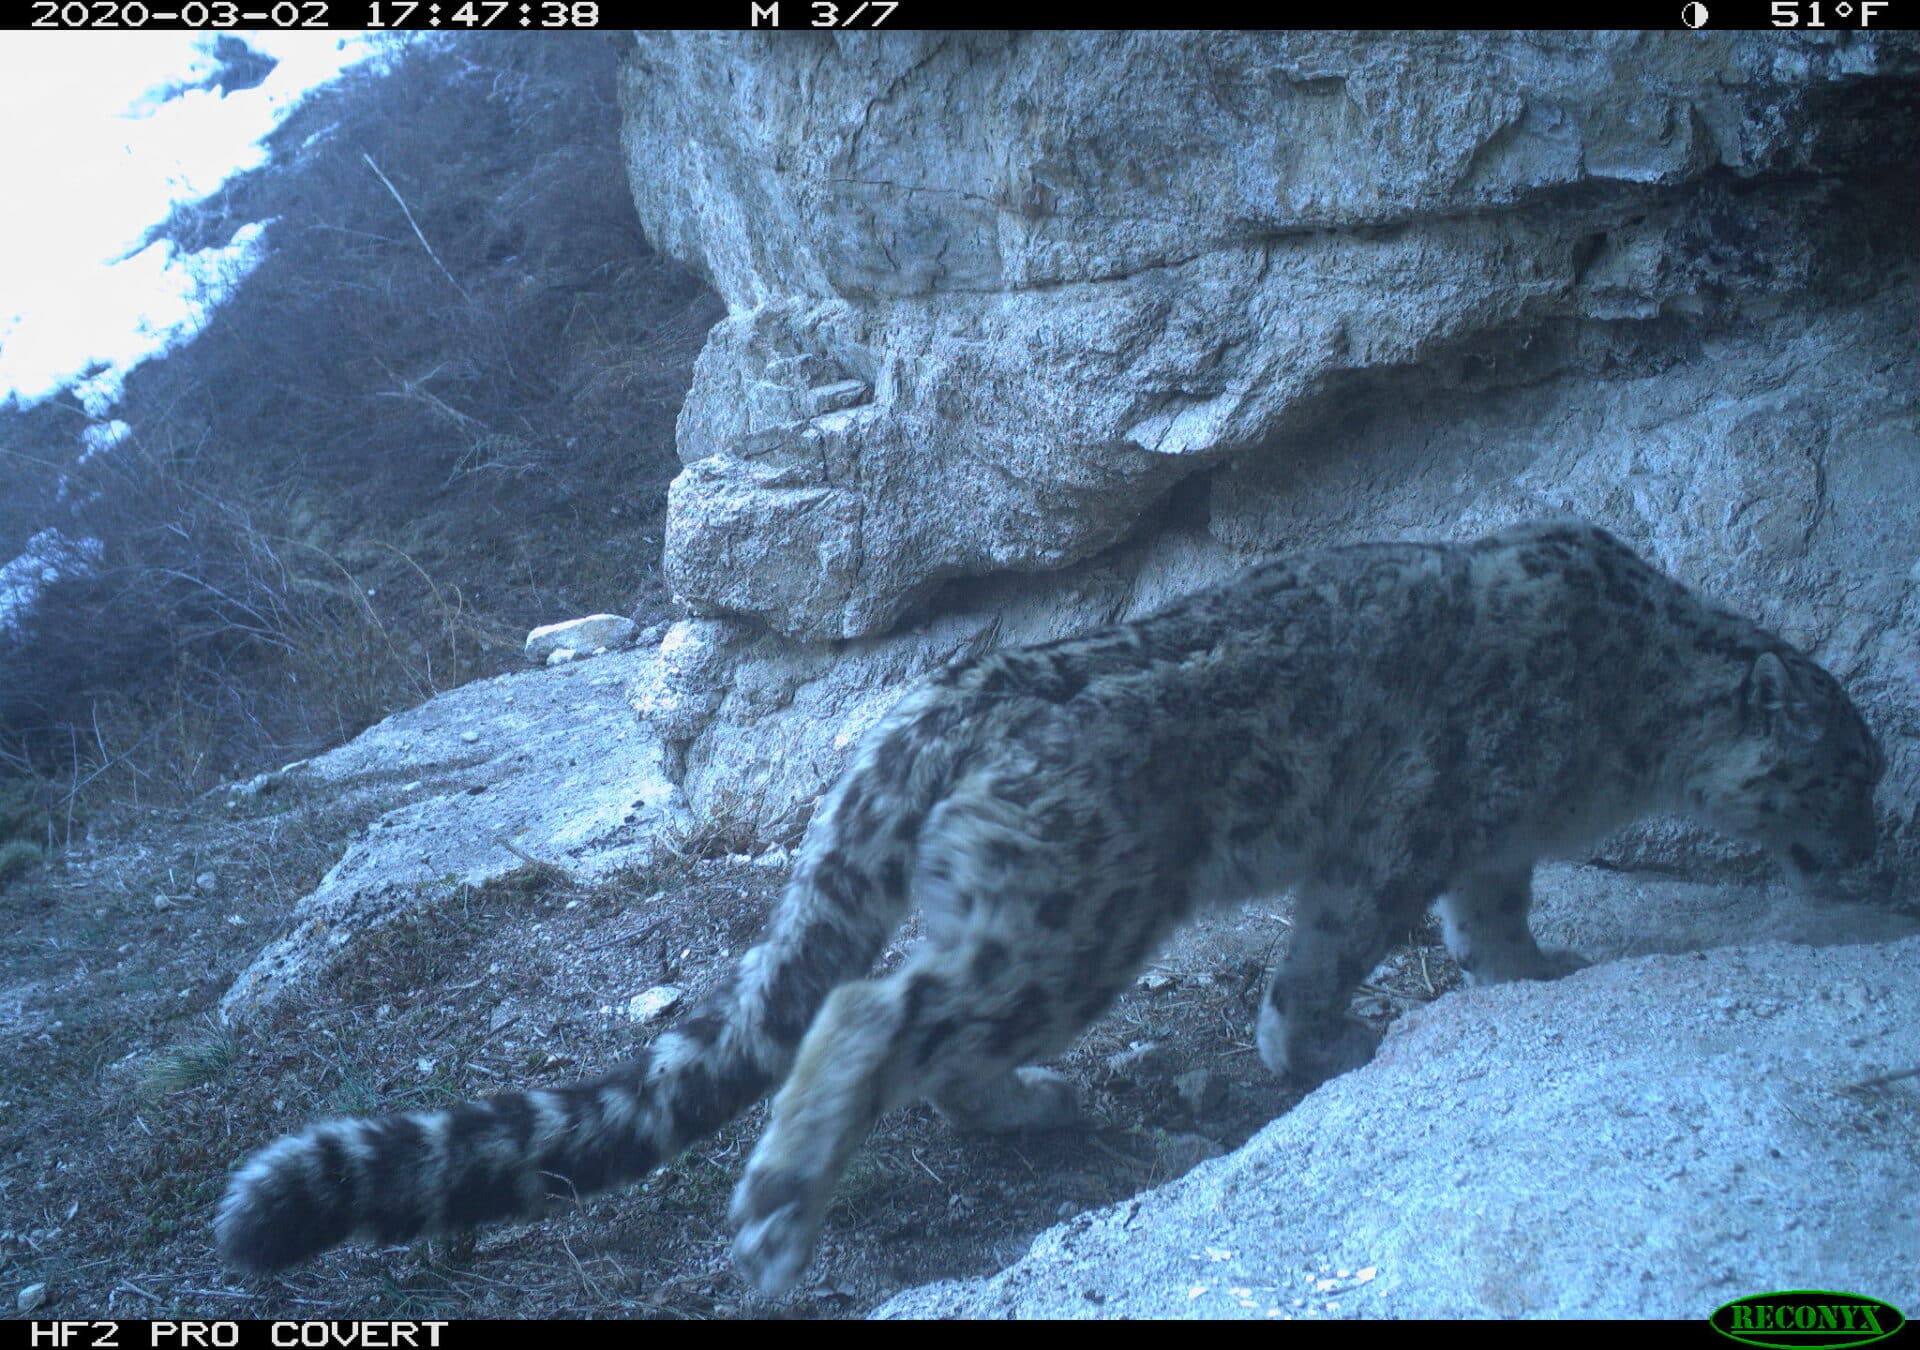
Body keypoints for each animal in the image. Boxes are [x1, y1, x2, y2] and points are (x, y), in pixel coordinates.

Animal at [217, 518, 1881, 1298]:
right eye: (1850, 767)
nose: (1873, 848)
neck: (1627, 724)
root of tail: (939, 705)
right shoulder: (1394, 838)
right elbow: (1325, 956)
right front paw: (1318, 1052)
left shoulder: (1487, 845)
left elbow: (1494, 914)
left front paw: (1529, 967)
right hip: (1078, 912)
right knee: (876, 1007)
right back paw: (784, 1207)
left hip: (1033, 917)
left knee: (938, 1041)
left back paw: (1042, 1106)